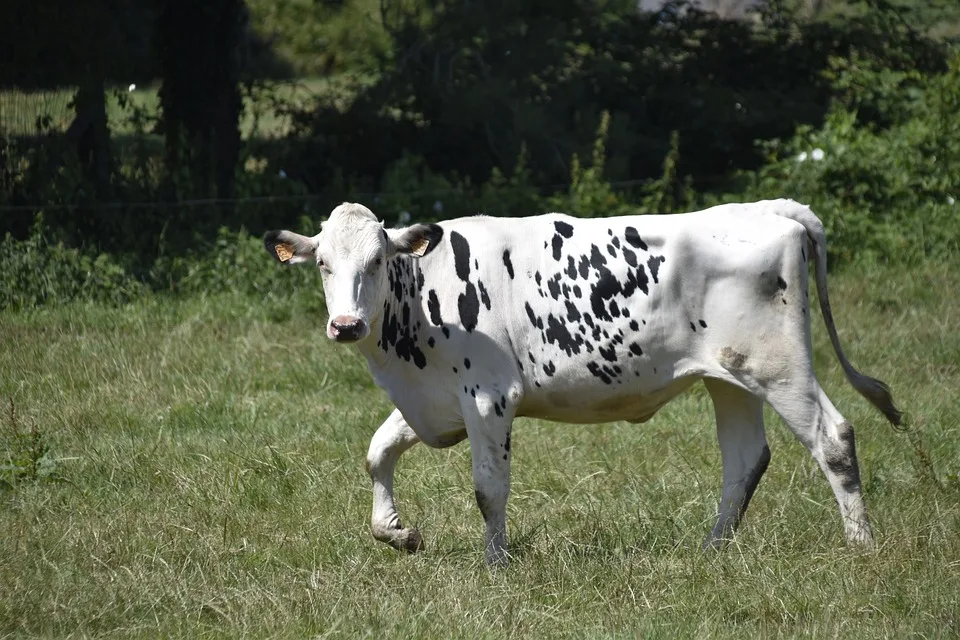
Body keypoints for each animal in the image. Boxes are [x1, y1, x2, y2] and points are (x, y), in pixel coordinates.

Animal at [264, 199, 900, 564]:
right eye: (324, 265)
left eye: (376, 261)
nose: (347, 324)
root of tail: (772, 209)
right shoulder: (433, 401)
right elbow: (377, 452)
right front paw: (399, 534)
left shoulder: (489, 397)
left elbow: (488, 488)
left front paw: (495, 565)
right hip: (732, 376)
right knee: (745, 458)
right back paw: (711, 551)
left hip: (780, 367)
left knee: (833, 438)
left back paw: (861, 547)